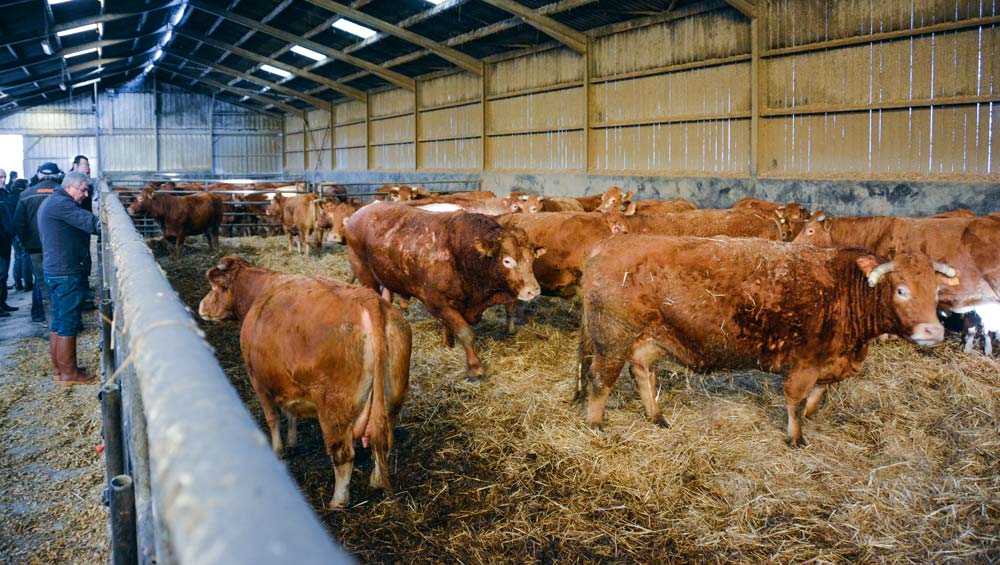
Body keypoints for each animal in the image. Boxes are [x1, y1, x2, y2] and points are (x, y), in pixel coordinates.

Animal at [199, 256, 410, 506]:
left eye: (216, 287)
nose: (201, 306)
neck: (260, 293)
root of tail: (367, 297)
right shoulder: (288, 385)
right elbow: (291, 413)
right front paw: (292, 441)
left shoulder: (258, 382)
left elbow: (272, 418)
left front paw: (278, 450)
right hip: (392, 403)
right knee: (383, 443)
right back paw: (376, 480)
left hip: (334, 411)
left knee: (343, 455)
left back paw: (337, 501)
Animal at [346, 203, 548, 378]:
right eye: (507, 260)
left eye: (532, 259)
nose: (533, 291)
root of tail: (362, 211)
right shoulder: (436, 303)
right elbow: (465, 333)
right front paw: (475, 367)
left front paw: (448, 344)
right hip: (364, 273)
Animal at [580, 235, 952, 446]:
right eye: (901, 290)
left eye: (937, 291)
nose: (934, 332)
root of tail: (608, 243)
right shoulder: (804, 365)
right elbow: (795, 402)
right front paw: (795, 437)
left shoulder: (829, 363)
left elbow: (816, 398)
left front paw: (809, 418)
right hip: (612, 338)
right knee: (600, 380)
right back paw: (596, 423)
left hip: (646, 339)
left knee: (643, 373)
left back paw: (656, 416)